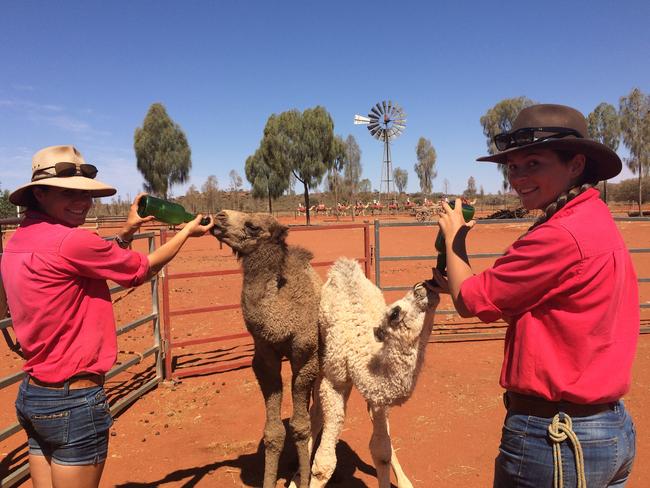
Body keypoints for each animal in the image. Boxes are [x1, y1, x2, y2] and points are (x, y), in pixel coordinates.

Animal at [210, 210, 318, 488]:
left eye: (253, 226)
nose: (219, 217)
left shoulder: (306, 357)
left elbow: (300, 426)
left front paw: (304, 478)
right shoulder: (264, 358)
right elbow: (273, 431)